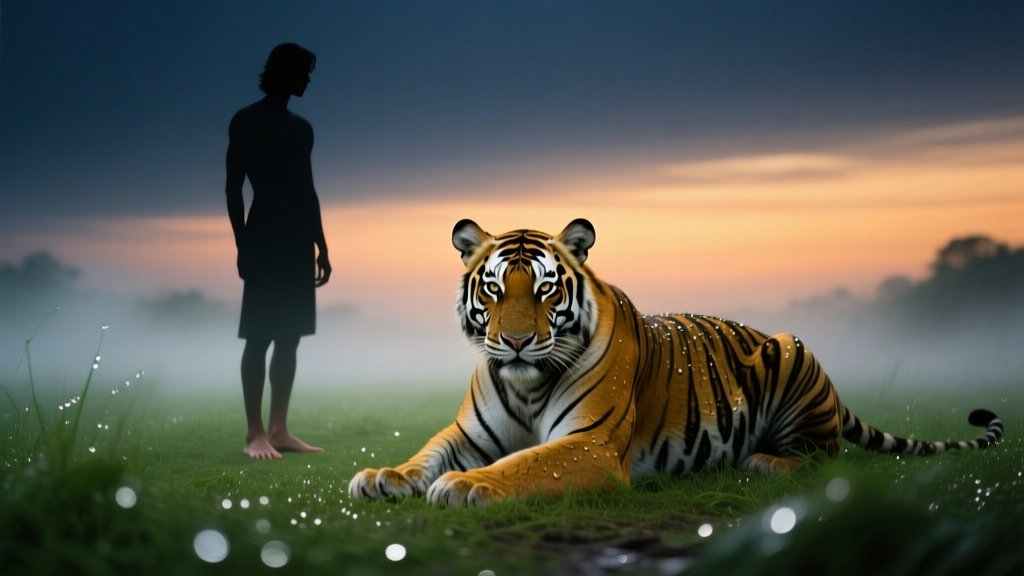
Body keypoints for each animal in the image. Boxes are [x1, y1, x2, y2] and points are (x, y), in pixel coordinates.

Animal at [348, 219, 1004, 507]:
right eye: (491, 289)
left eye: (544, 290)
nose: (513, 342)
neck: (526, 382)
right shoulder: (468, 435)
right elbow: (426, 455)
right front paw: (384, 476)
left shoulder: (589, 445)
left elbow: (525, 464)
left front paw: (468, 485)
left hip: (793, 350)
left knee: (824, 457)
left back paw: (759, 463)